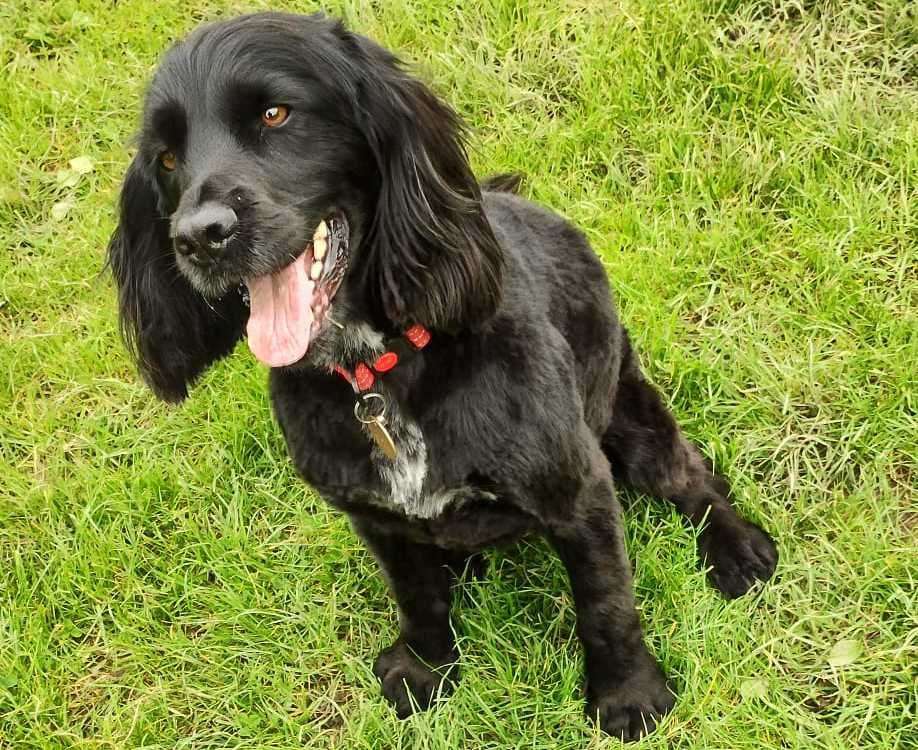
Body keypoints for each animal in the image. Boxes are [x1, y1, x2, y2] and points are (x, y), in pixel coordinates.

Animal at [109, 13, 776, 748]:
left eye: (275, 113)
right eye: (168, 159)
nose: (197, 237)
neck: (381, 367)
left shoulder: (579, 488)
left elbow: (605, 602)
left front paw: (627, 695)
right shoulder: (378, 519)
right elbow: (418, 598)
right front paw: (425, 672)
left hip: (630, 417)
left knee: (692, 476)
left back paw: (738, 549)